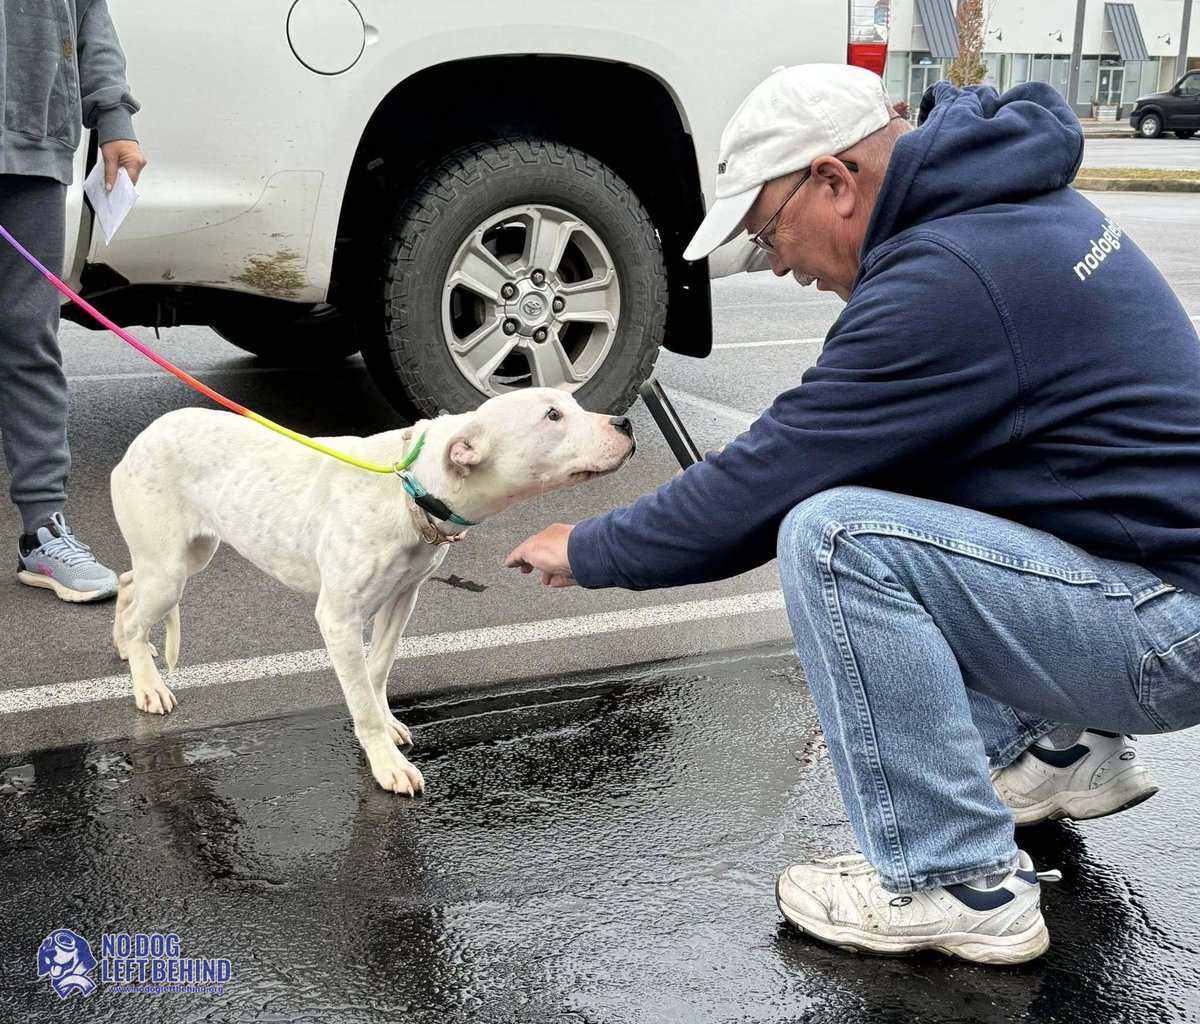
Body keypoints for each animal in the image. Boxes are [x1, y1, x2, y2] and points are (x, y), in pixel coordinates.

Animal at [110, 388, 634, 795]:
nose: (626, 423)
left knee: (127, 583)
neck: (409, 487)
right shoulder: (339, 619)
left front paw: (387, 722)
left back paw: (127, 647)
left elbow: (377, 671)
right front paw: (385, 762)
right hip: (170, 571)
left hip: (190, 555)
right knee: (138, 612)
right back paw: (147, 683)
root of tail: (141, 439)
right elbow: (359, 697)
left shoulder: (402, 599)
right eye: (552, 416)